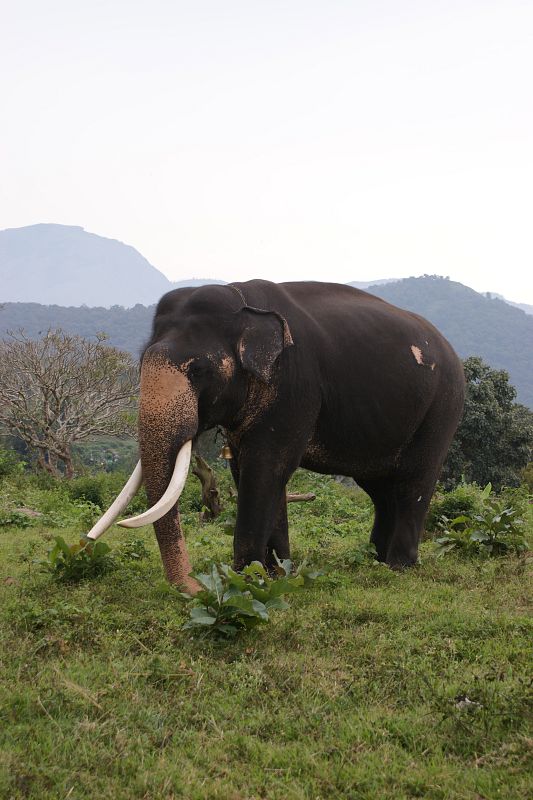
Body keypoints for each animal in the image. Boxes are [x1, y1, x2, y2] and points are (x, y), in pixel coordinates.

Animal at [88, 280, 465, 592]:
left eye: (198, 370)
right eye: (139, 365)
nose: (193, 588)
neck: (242, 300)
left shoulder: (294, 387)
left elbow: (267, 469)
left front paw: (245, 578)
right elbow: (249, 471)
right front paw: (279, 571)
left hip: (443, 407)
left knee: (414, 482)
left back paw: (399, 567)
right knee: (381, 490)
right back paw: (376, 560)